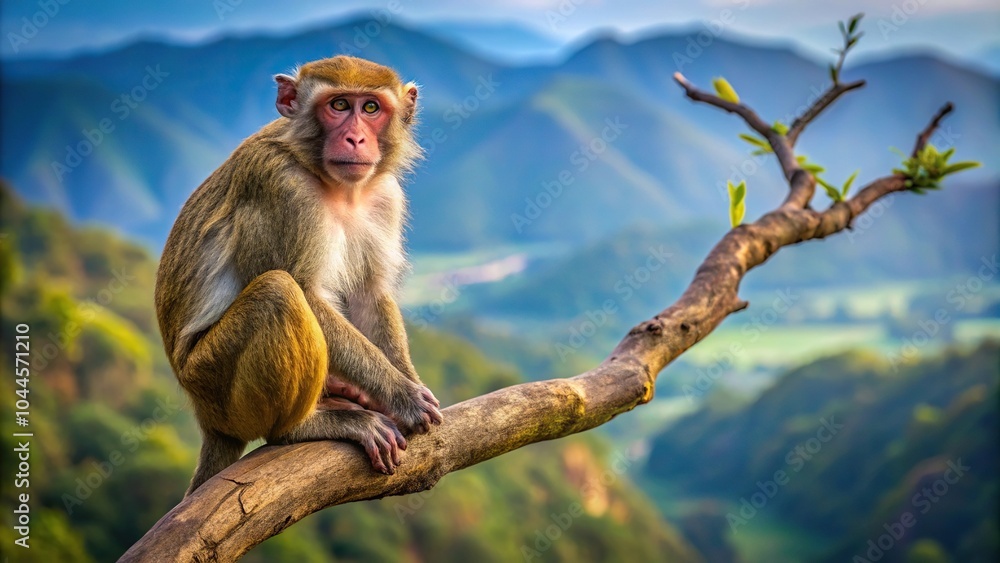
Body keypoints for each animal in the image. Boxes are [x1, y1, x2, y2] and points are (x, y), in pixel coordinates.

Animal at [154, 55, 443, 496]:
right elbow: (306, 292)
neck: (335, 185)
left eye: (370, 108)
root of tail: (205, 416)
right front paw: (401, 396)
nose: (356, 138)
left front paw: (407, 383)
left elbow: (369, 294)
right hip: (213, 382)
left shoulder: (386, 196)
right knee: (279, 292)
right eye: (338, 105)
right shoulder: (282, 190)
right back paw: (302, 426)